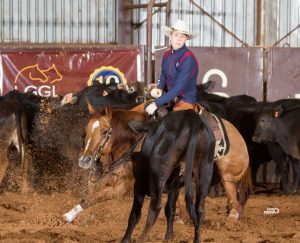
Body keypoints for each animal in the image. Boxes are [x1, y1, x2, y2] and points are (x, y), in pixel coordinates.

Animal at [77, 104, 251, 243]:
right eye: (85, 131)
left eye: (105, 131)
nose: (84, 159)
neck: (134, 139)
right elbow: (90, 196)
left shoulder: (129, 186)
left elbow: (101, 200)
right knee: (200, 209)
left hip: (227, 178)